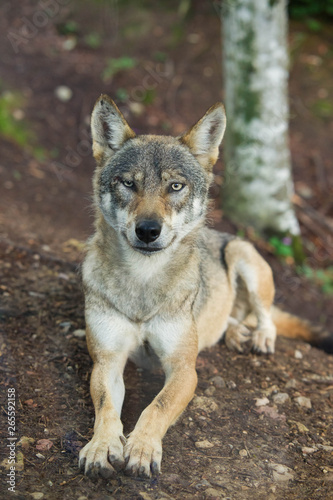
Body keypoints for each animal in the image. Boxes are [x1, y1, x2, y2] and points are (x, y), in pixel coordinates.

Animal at [78, 94, 330, 480]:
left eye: (175, 186)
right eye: (129, 184)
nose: (147, 230)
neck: (143, 283)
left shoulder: (184, 369)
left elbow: (156, 407)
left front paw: (142, 448)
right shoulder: (107, 361)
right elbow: (106, 408)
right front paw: (101, 447)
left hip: (243, 256)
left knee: (267, 317)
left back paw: (258, 337)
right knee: (233, 319)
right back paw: (236, 333)